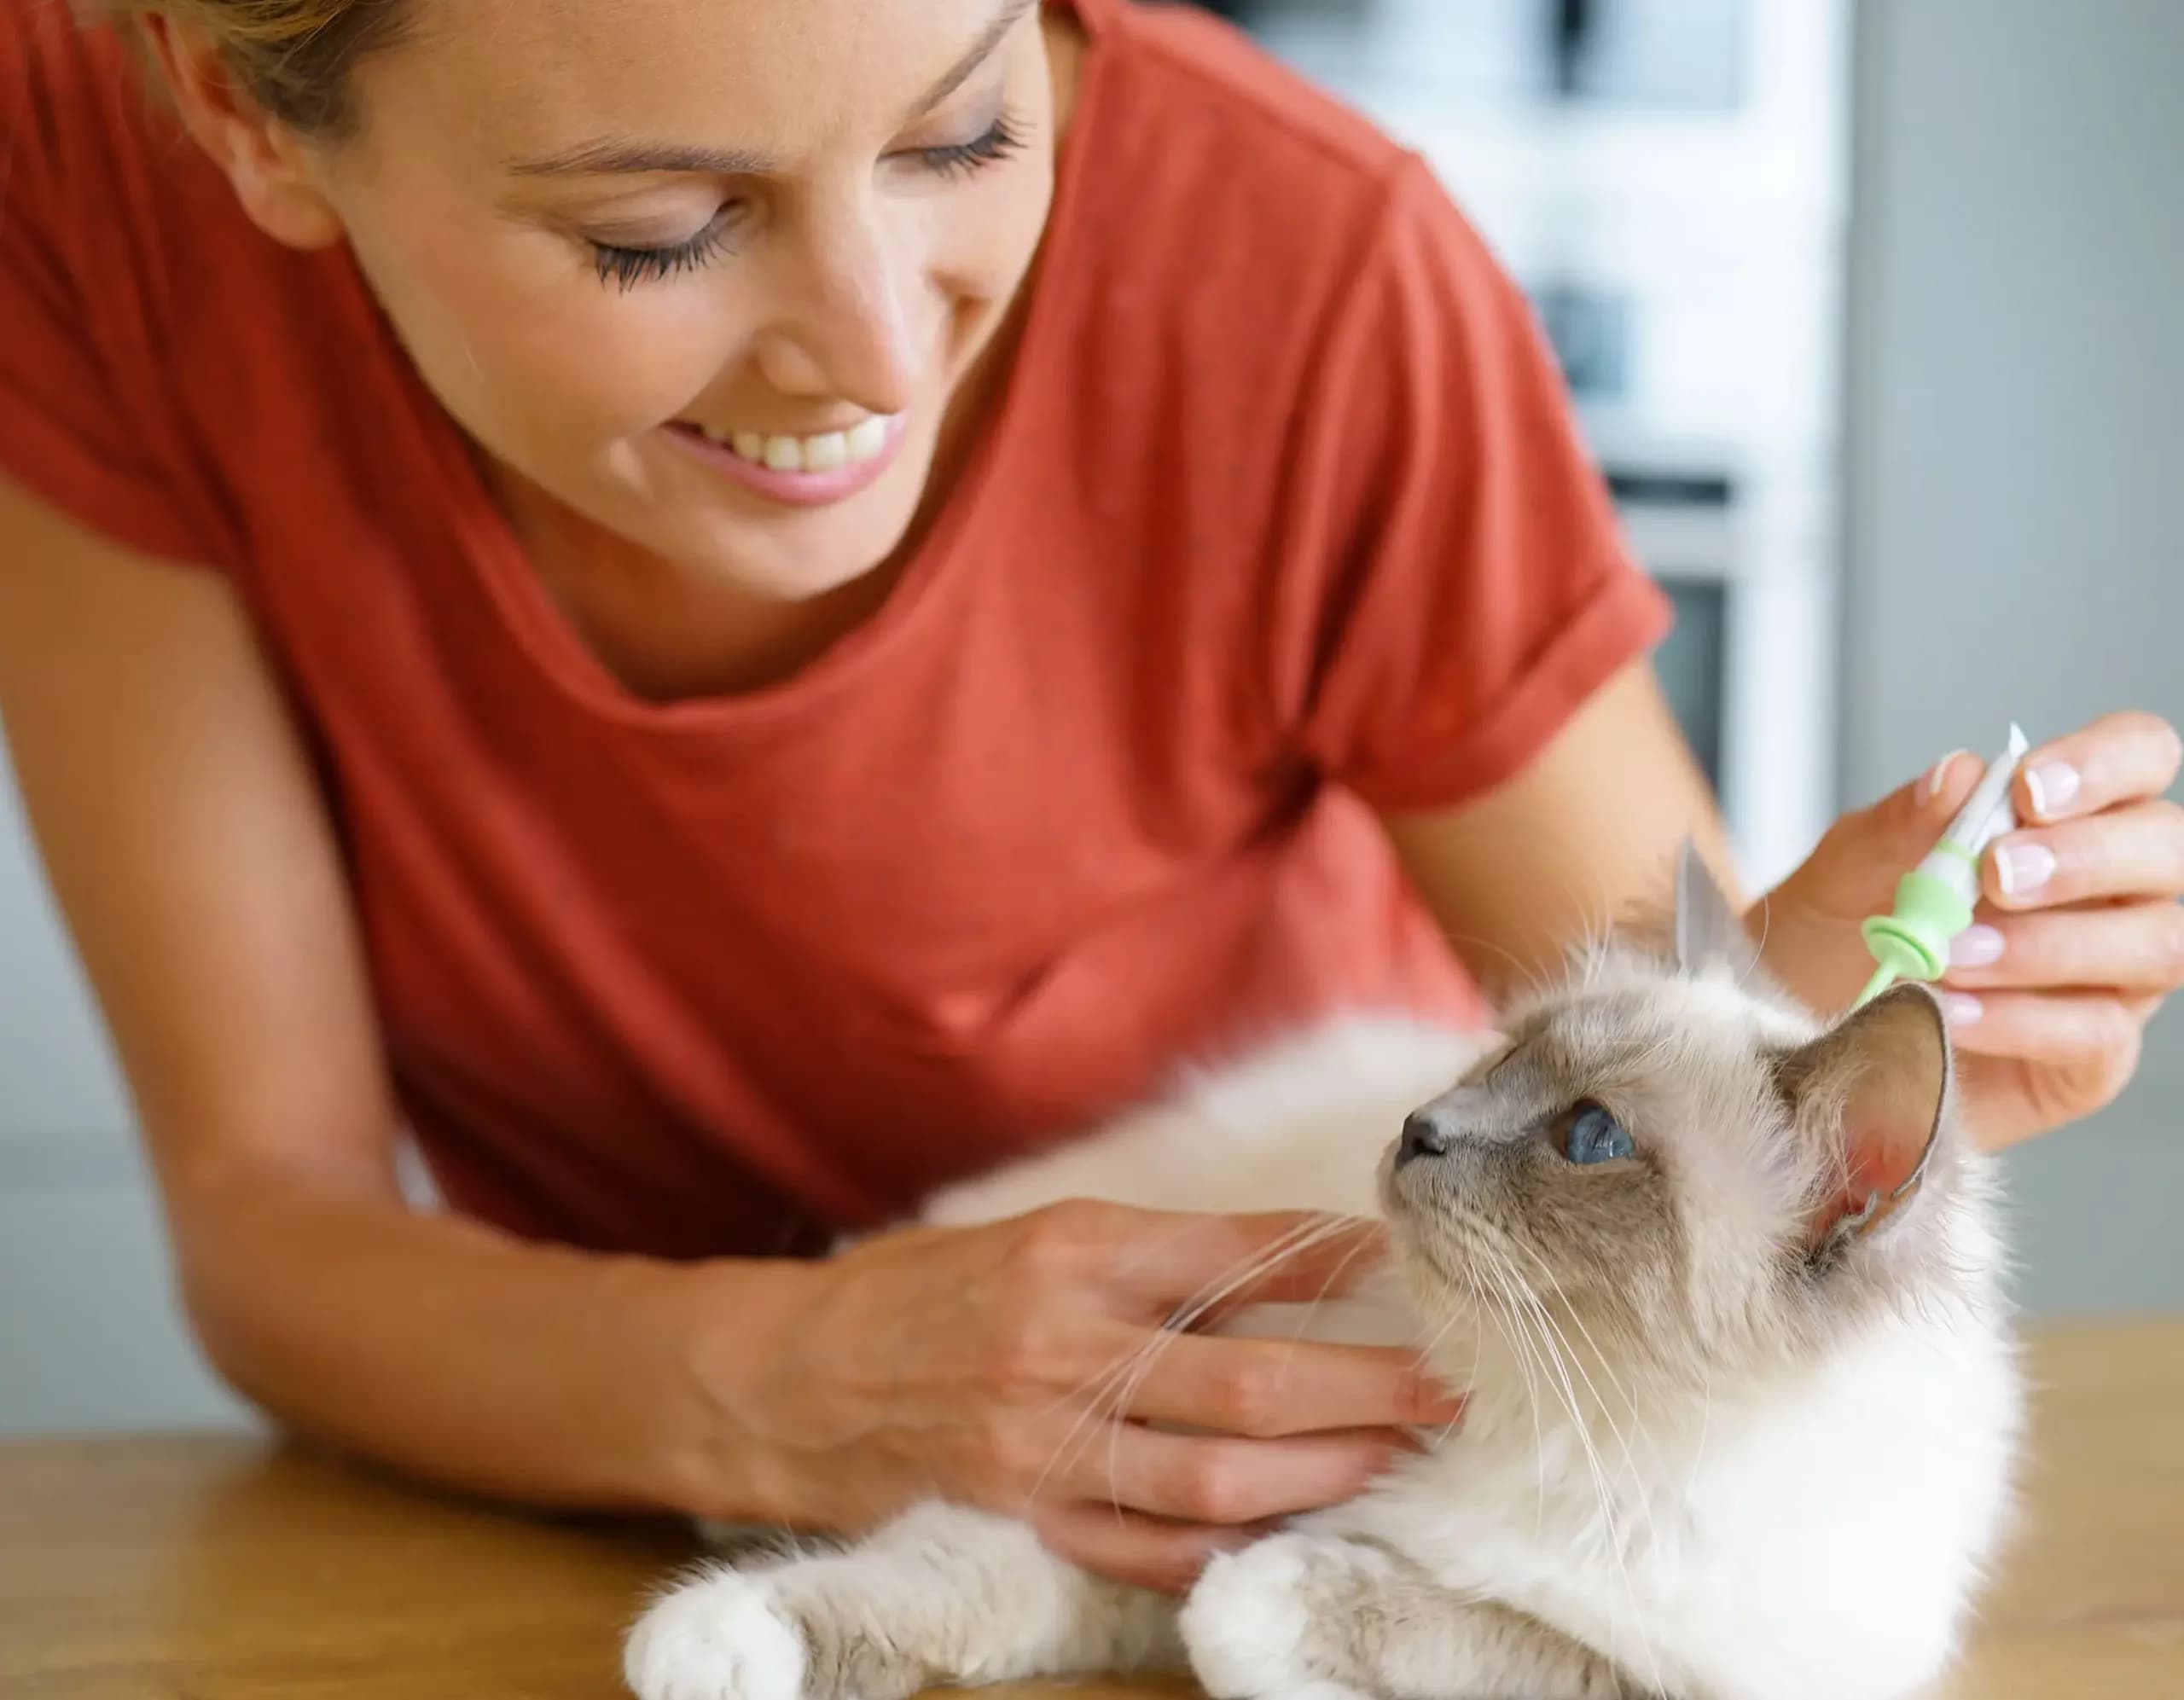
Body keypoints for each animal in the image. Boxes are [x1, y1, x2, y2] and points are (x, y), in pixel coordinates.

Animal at [624, 850, 2018, 1700]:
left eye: (1590, 1137)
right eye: (1497, 1059)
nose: (1420, 1129)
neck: (1543, 1418)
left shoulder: (1656, 1674)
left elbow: (1366, 1609)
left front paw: (1259, 1624)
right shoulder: (1131, 1514)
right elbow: (914, 1584)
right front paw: (704, 1644)